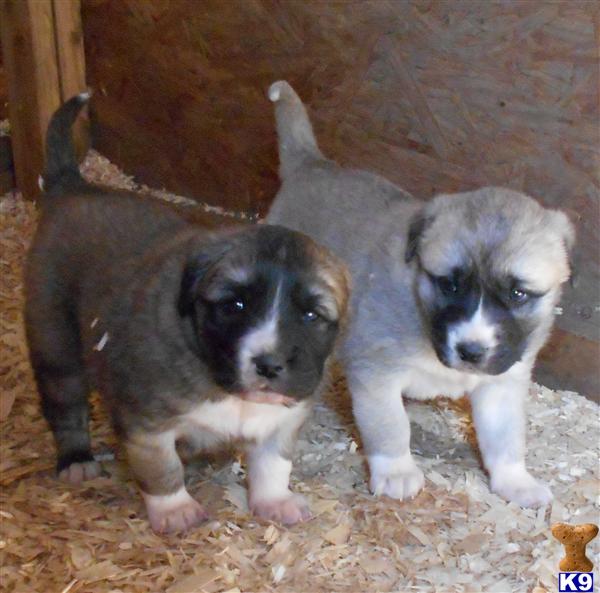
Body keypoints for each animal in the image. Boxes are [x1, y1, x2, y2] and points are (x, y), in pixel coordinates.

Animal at [25, 96, 350, 532]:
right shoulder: (146, 422)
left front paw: (274, 501)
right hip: (55, 346)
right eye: (234, 306)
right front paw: (174, 510)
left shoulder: (281, 422)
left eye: (312, 316)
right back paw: (76, 461)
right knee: (66, 407)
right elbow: (162, 469)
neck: (228, 389)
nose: (269, 365)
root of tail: (72, 186)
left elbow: (272, 464)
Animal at [266, 81, 572, 506]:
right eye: (450, 284)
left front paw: (515, 481)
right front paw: (396, 472)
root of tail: (312, 164)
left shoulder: (502, 385)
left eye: (518, 293)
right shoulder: (376, 374)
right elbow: (390, 426)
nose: (471, 351)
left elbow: (506, 438)